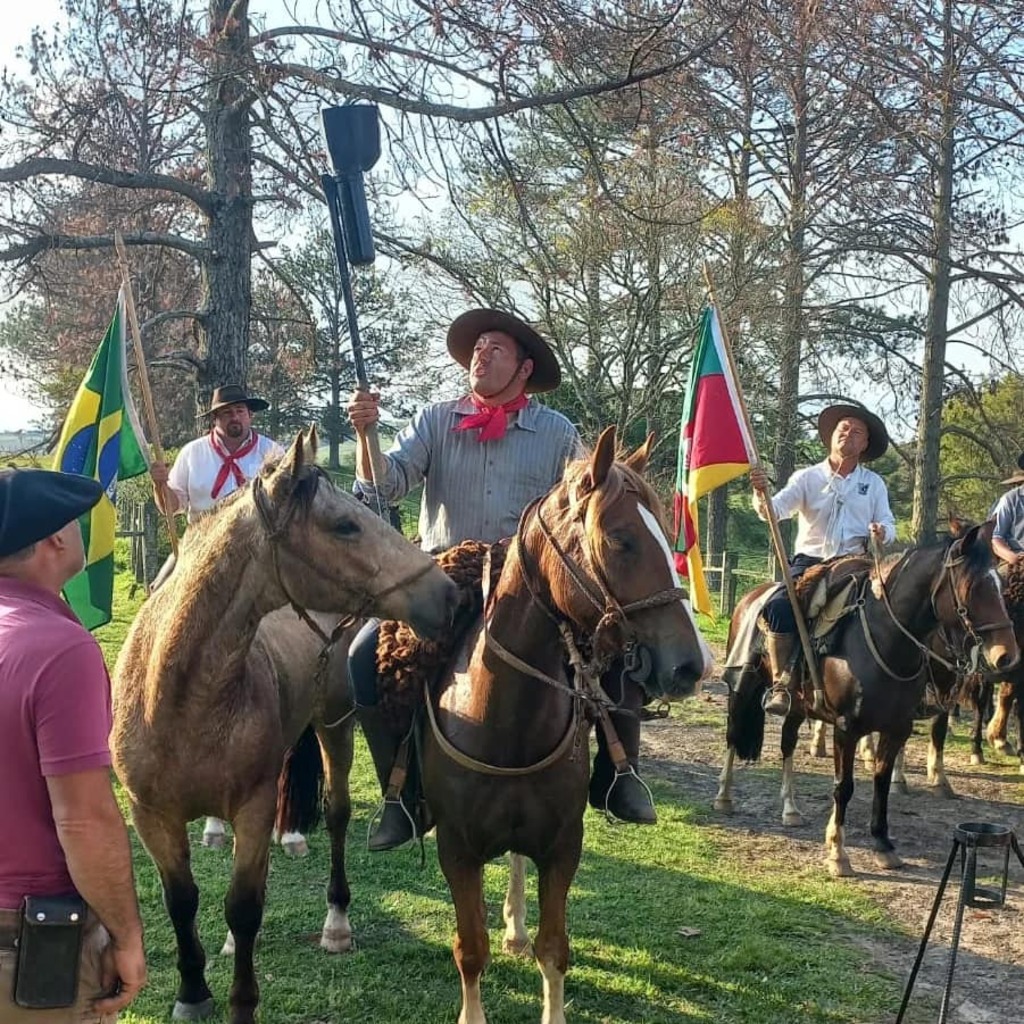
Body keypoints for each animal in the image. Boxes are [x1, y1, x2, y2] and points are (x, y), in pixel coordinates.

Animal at [111, 430, 456, 1024]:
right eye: (344, 525)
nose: (450, 593)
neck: (177, 699)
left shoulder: (251, 809)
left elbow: (243, 906)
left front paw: (241, 1002)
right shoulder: (152, 816)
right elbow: (182, 901)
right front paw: (192, 991)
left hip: (334, 729)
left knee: (337, 816)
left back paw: (336, 925)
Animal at [419, 425, 708, 1024]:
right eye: (620, 539)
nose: (691, 665)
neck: (503, 720)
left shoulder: (562, 846)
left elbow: (554, 950)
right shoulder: (456, 850)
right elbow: (470, 949)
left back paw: (515, 926)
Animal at [716, 524, 1019, 876]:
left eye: (1000, 586)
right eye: (973, 587)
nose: (1007, 656)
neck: (887, 639)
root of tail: (750, 597)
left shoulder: (897, 728)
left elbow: (881, 783)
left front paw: (883, 845)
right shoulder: (847, 728)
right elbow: (843, 786)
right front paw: (837, 852)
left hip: (797, 705)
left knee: (787, 744)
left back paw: (790, 808)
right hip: (741, 685)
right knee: (733, 736)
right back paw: (724, 797)